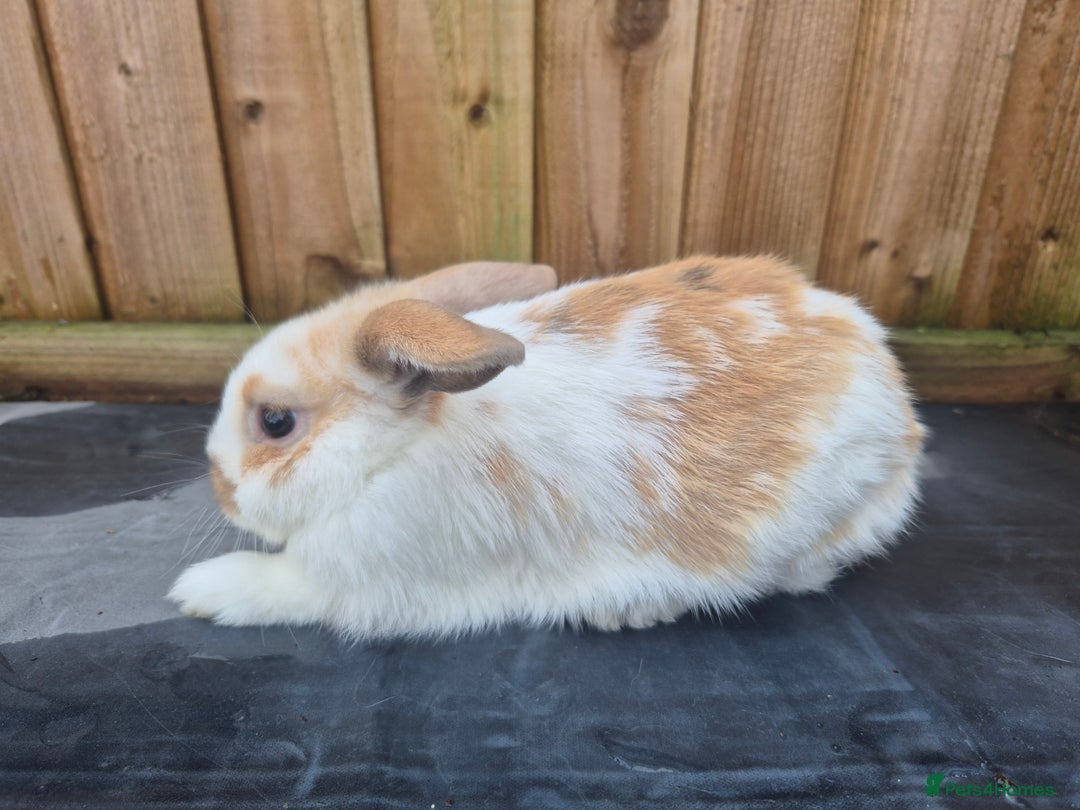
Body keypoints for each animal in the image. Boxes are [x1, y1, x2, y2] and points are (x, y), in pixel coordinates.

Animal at [168, 255, 924, 639]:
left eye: (275, 422)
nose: (220, 489)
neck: (394, 454)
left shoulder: (356, 580)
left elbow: (277, 587)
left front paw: (197, 591)